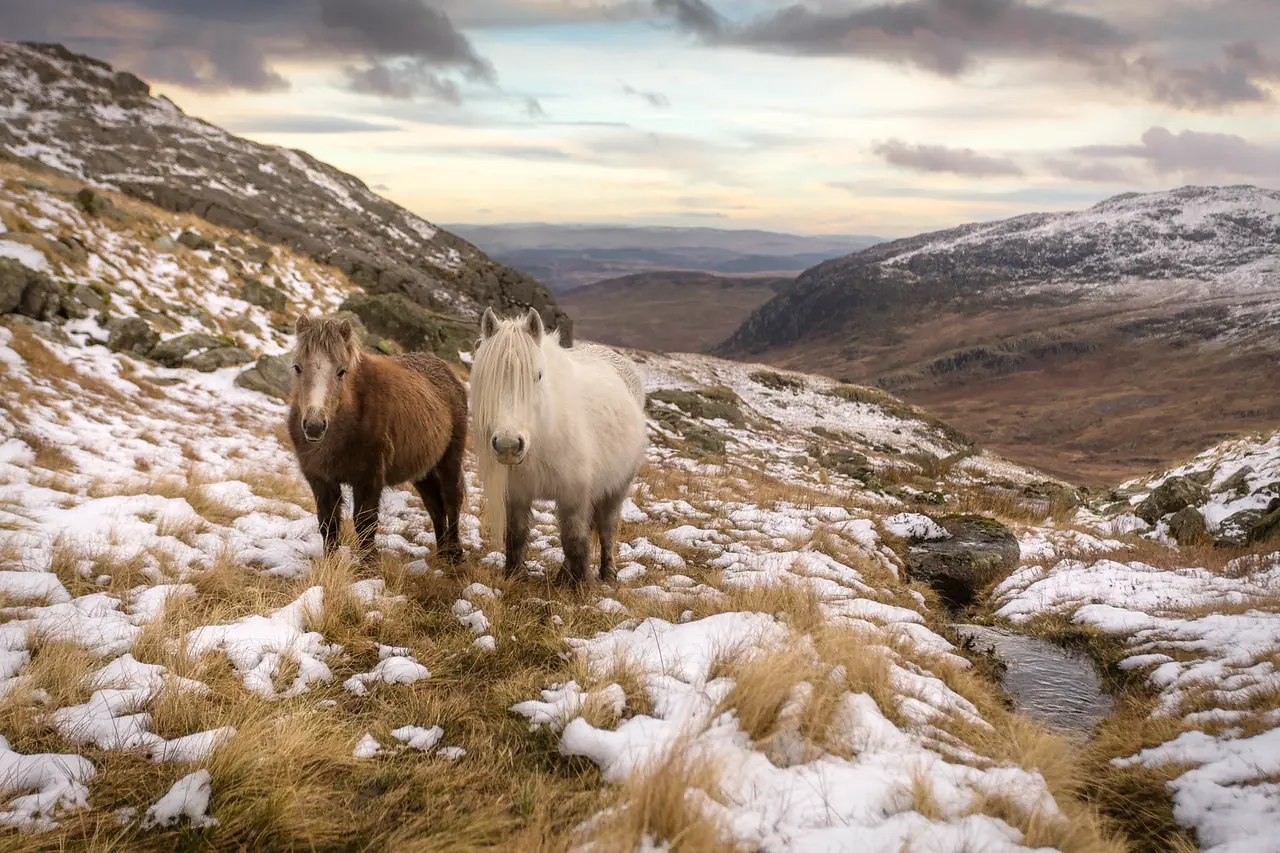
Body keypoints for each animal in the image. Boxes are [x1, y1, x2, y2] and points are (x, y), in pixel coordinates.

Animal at [286, 315, 469, 564]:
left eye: (341, 371)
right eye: (297, 367)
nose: (314, 426)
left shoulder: (369, 478)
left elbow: (365, 523)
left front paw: (368, 566)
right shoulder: (321, 479)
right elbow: (328, 522)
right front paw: (330, 564)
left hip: (450, 459)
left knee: (451, 500)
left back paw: (454, 554)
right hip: (423, 469)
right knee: (435, 506)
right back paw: (442, 553)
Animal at [469, 307, 648, 586]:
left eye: (538, 375)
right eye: (487, 376)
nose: (508, 445)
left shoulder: (574, 494)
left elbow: (575, 539)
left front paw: (581, 586)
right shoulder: (517, 494)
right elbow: (516, 534)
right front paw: (514, 574)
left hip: (617, 487)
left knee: (606, 528)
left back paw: (607, 574)